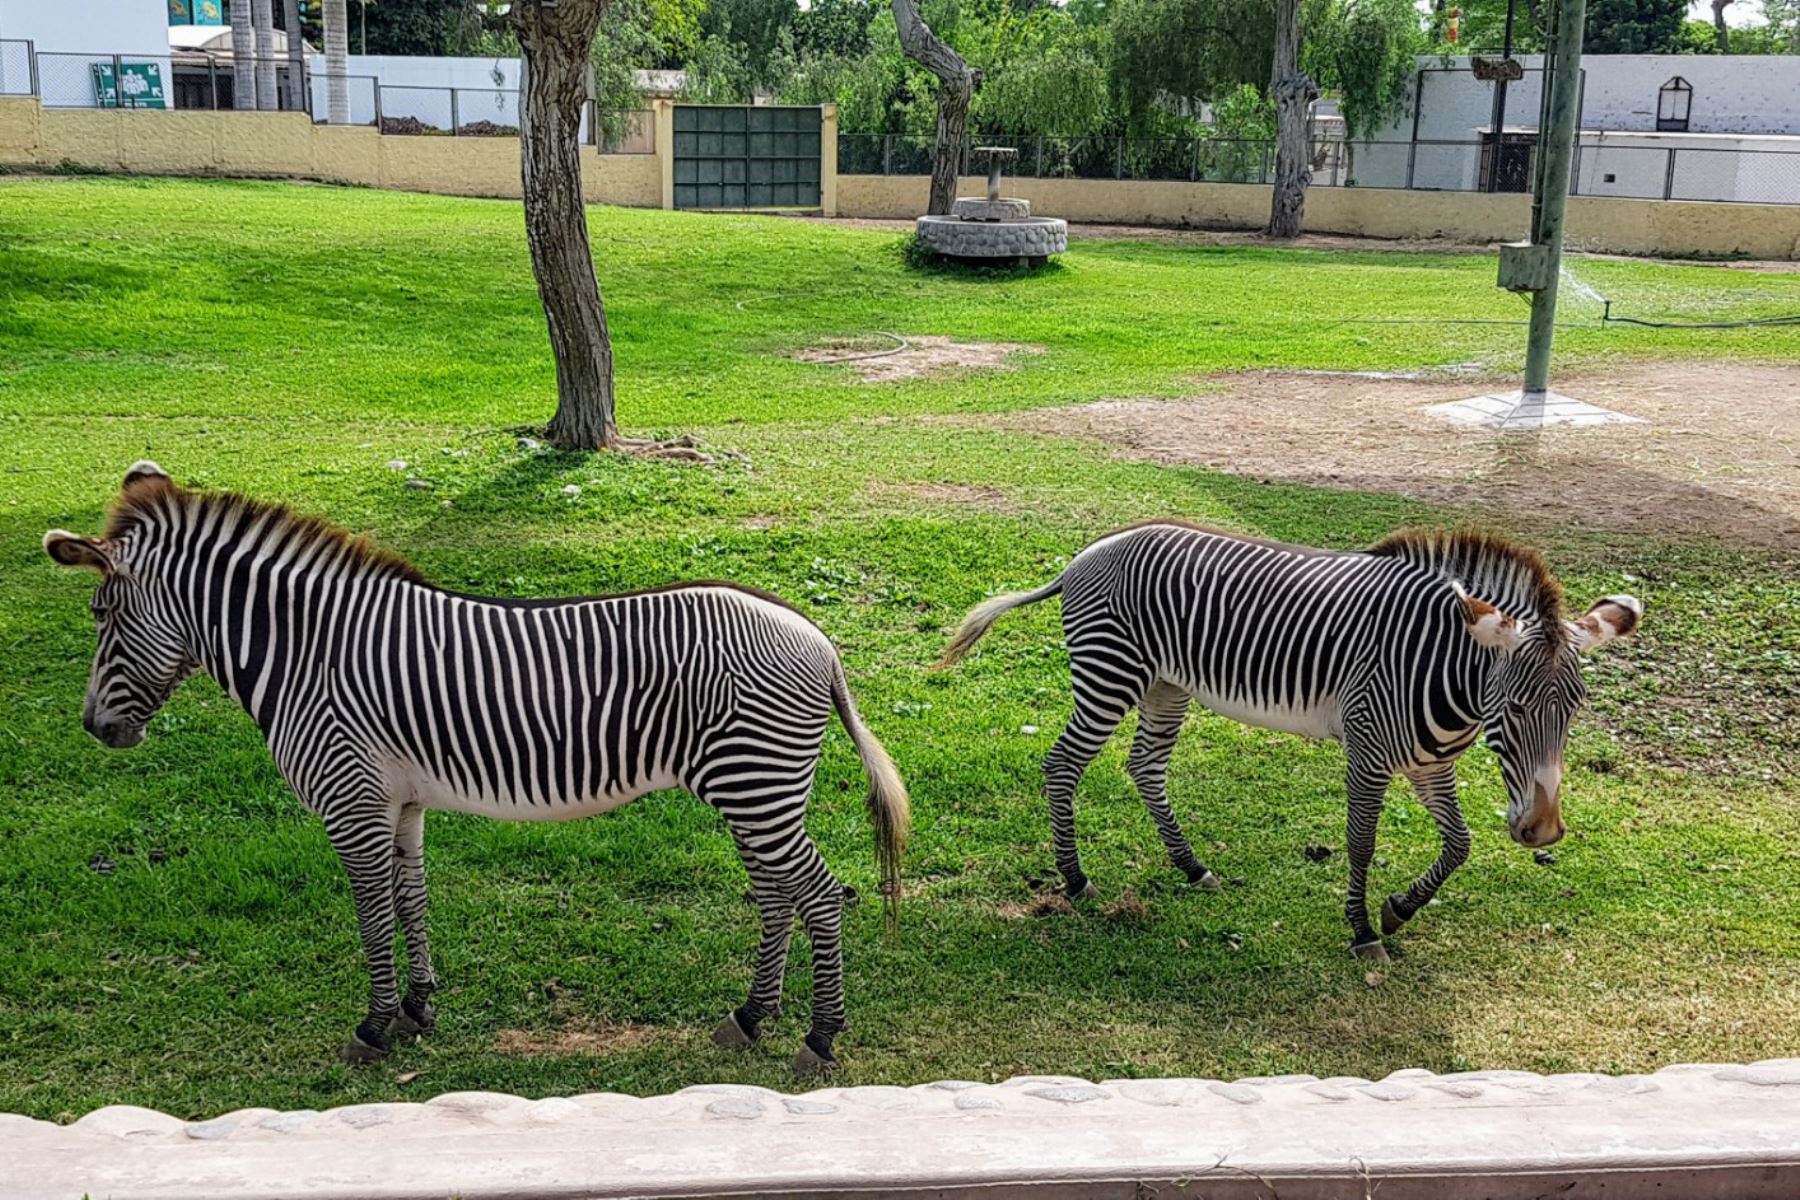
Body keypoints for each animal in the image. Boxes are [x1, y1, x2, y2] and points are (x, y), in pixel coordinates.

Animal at [42, 464, 914, 1072]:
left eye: (101, 613)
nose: (93, 729)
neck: (306, 656)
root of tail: (819, 639)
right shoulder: (399, 803)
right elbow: (410, 898)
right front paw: (418, 1010)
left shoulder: (349, 800)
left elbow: (370, 913)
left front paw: (373, 1026)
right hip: (752, 792)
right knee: (778, 894)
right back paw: (749, 1016)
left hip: (754, 785)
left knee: (819, 894)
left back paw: (819, 1037)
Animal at [943, 521, 1648, 964]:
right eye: (1517, 708)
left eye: (1576, 711)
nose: (1543, 833)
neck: (1451, 675)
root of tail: (1086, 555)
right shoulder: (1368, 752)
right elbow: (1361, 844)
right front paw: (1364, 932)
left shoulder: (1431, 764)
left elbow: (1459, 844)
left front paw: (1399, 909)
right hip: (1110, 674)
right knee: (1063, 764)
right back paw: (1075, 879)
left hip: (1166, 685)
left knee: (1145, 767)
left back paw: (1192, 867)